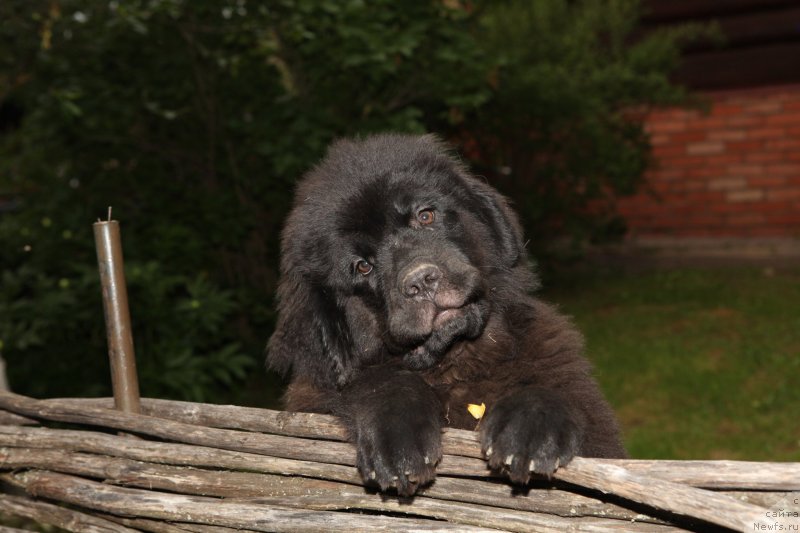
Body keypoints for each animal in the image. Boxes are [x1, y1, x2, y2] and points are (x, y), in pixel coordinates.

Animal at [268, 132, 624, 494]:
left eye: (425, 216)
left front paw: (531, 427)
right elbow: (378, 381)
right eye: (362, 266)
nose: (421, 280)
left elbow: (549, 388)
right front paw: (397, 437)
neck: (456, 361)